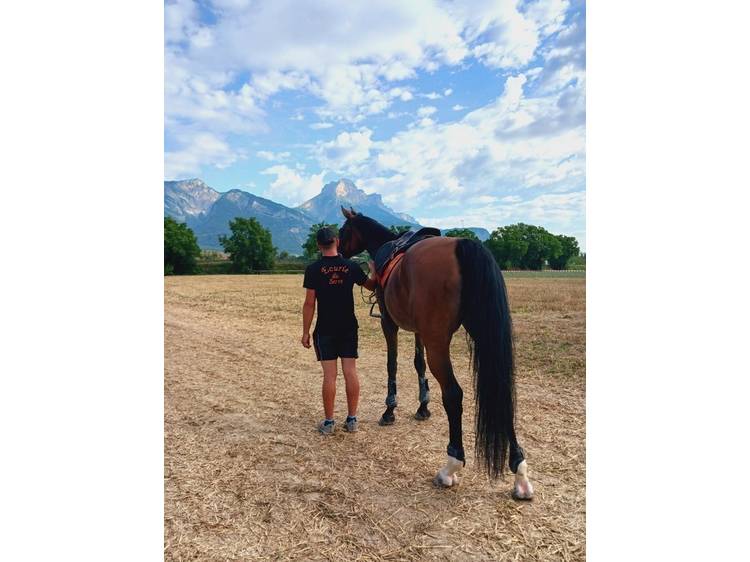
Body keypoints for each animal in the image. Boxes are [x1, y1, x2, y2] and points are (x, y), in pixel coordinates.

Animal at [340, 208, 536, 496]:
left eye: (343, 231)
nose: (338, 252)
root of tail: (463, 245)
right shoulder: (419, 330)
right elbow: (418, 364)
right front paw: (423, 406)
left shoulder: (389, 323)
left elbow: (392, 363)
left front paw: (389, 410)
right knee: (501, 391)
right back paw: (520, 473)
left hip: (438, 343)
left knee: (454, 394)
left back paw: (451, 466)